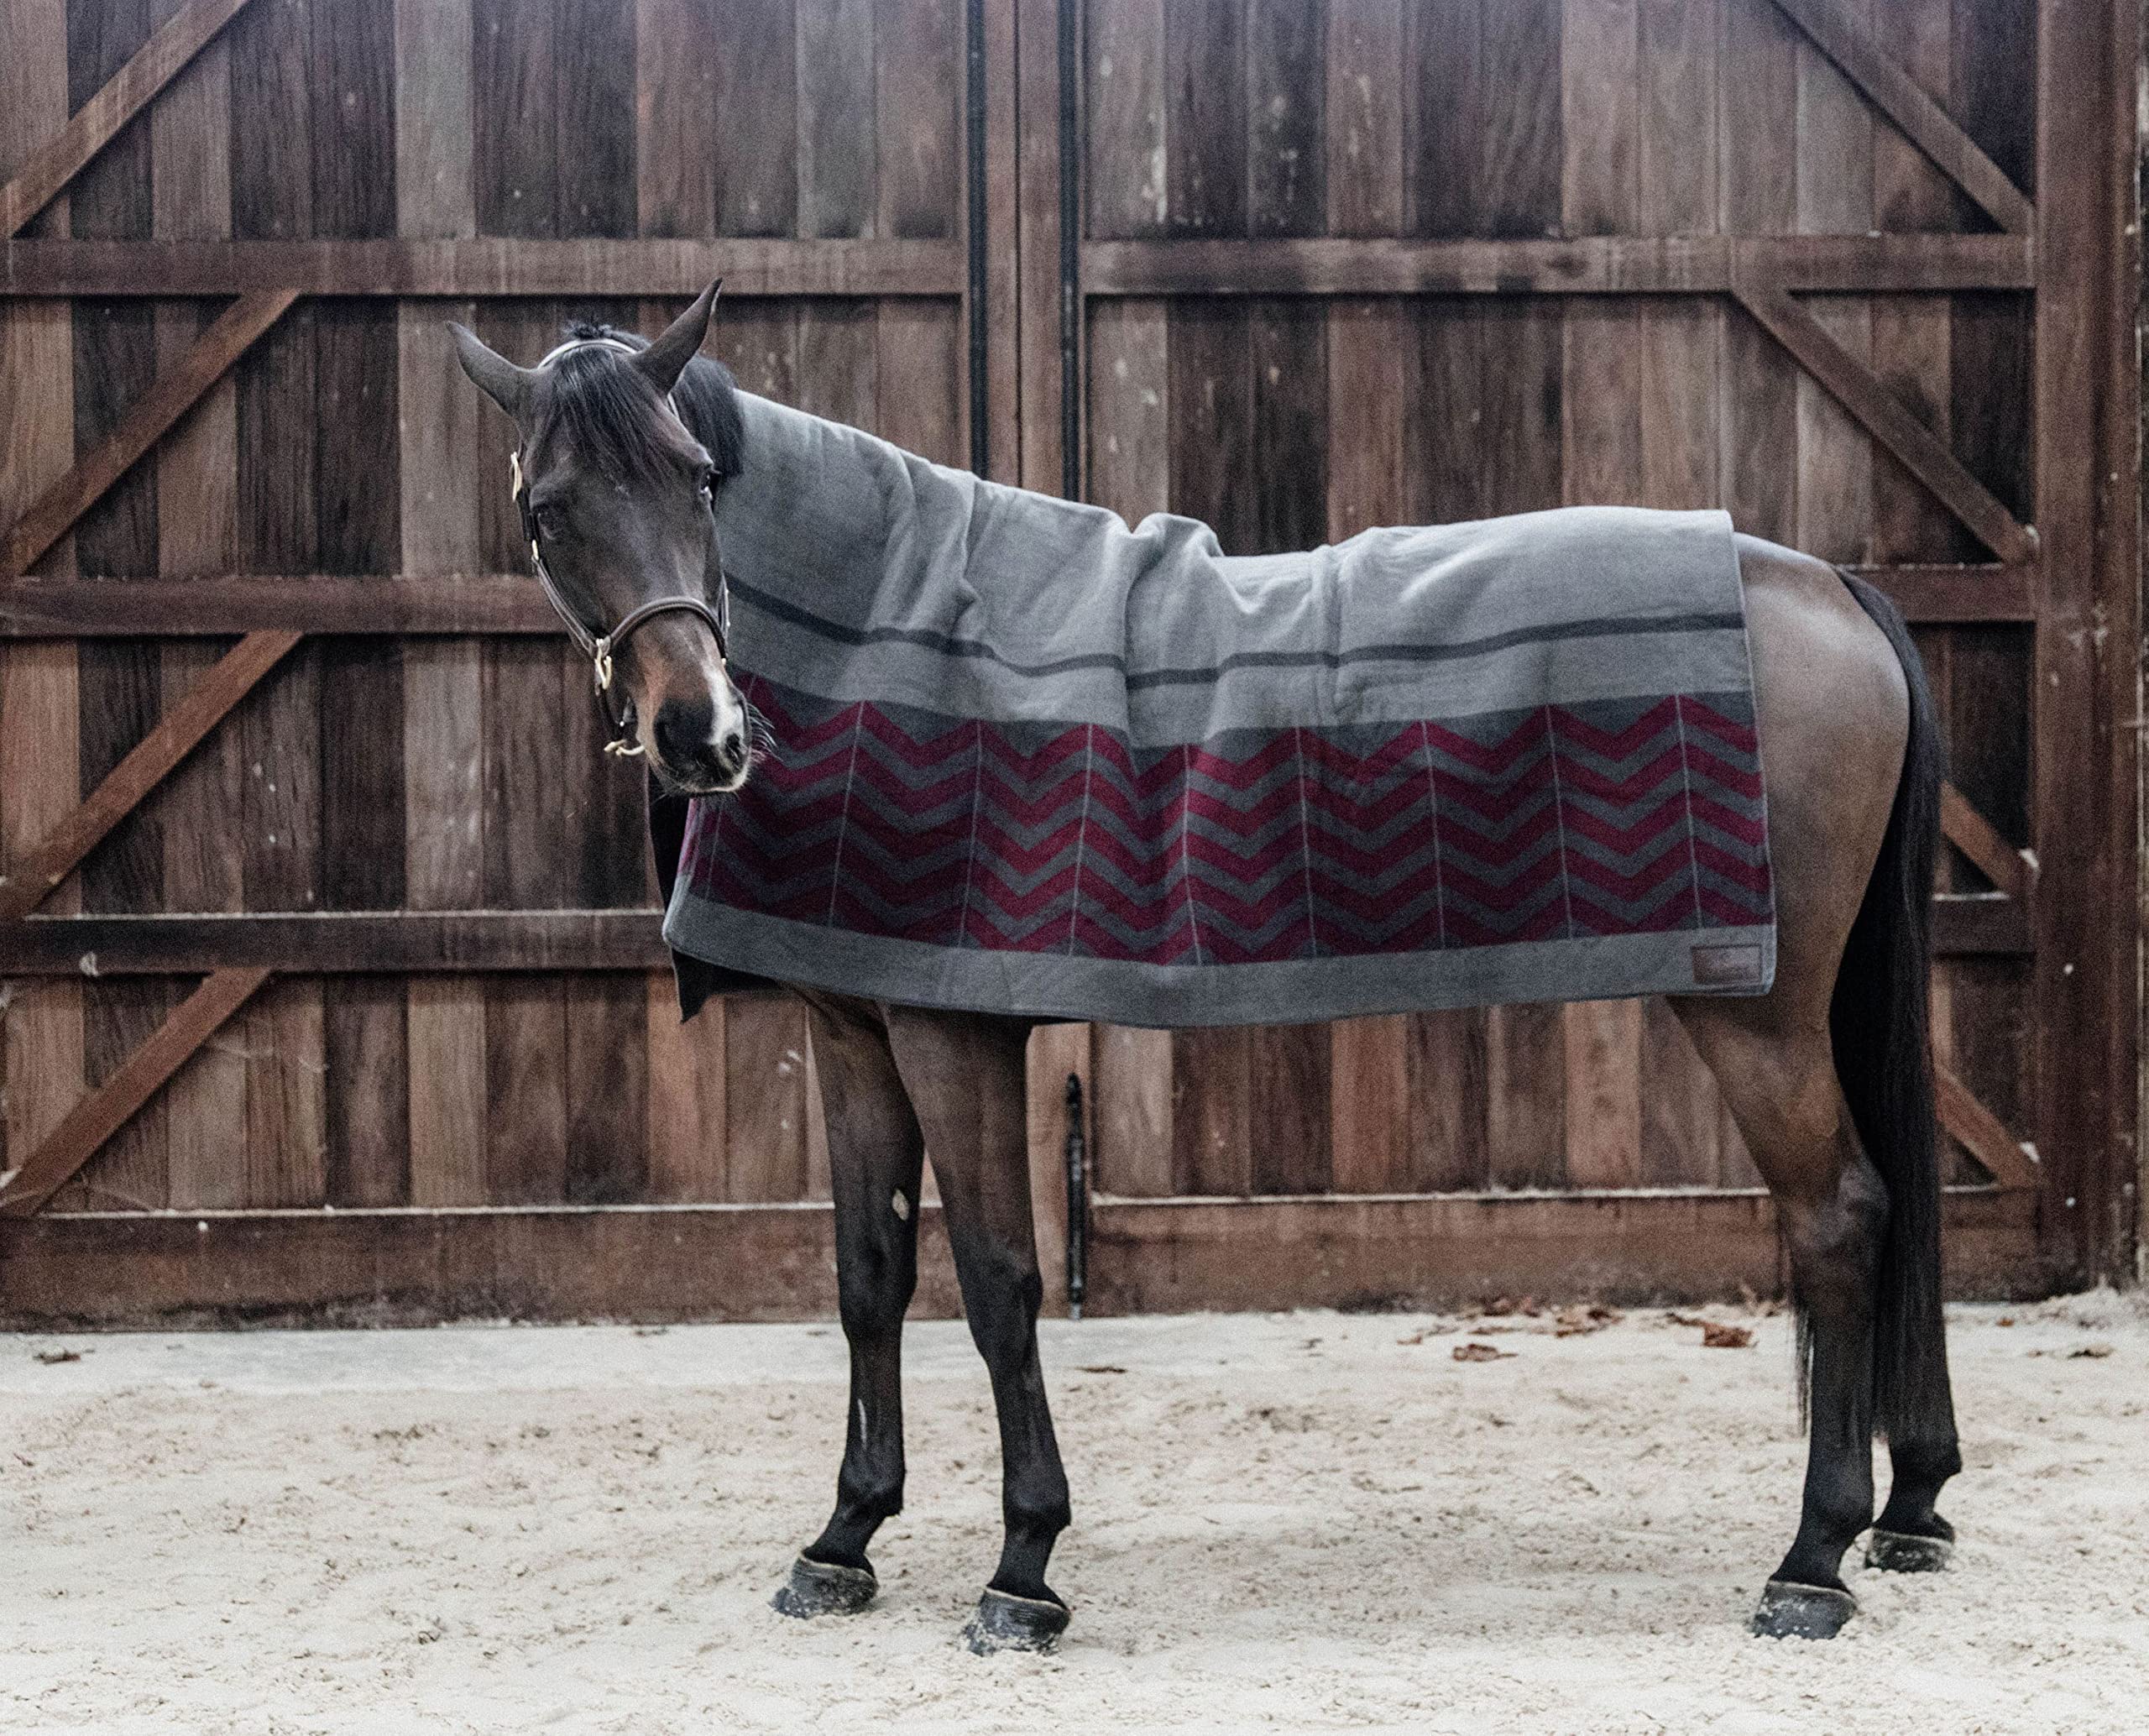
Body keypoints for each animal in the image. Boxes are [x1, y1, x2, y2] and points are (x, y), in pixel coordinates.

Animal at [450, 282, 1961, 1653]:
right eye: (549, 509)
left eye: (701, 480)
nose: (702, 732)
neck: (889, 621)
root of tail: (1821, 585)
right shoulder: (851, 1026)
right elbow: (869, 1276)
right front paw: (843, 1539)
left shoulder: (952, 1030)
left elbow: (999, 1282)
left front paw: (1023, 1568)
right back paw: (1906, 1508)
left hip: (1757, 1014)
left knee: (1840, 1218)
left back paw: (1811, 1561)